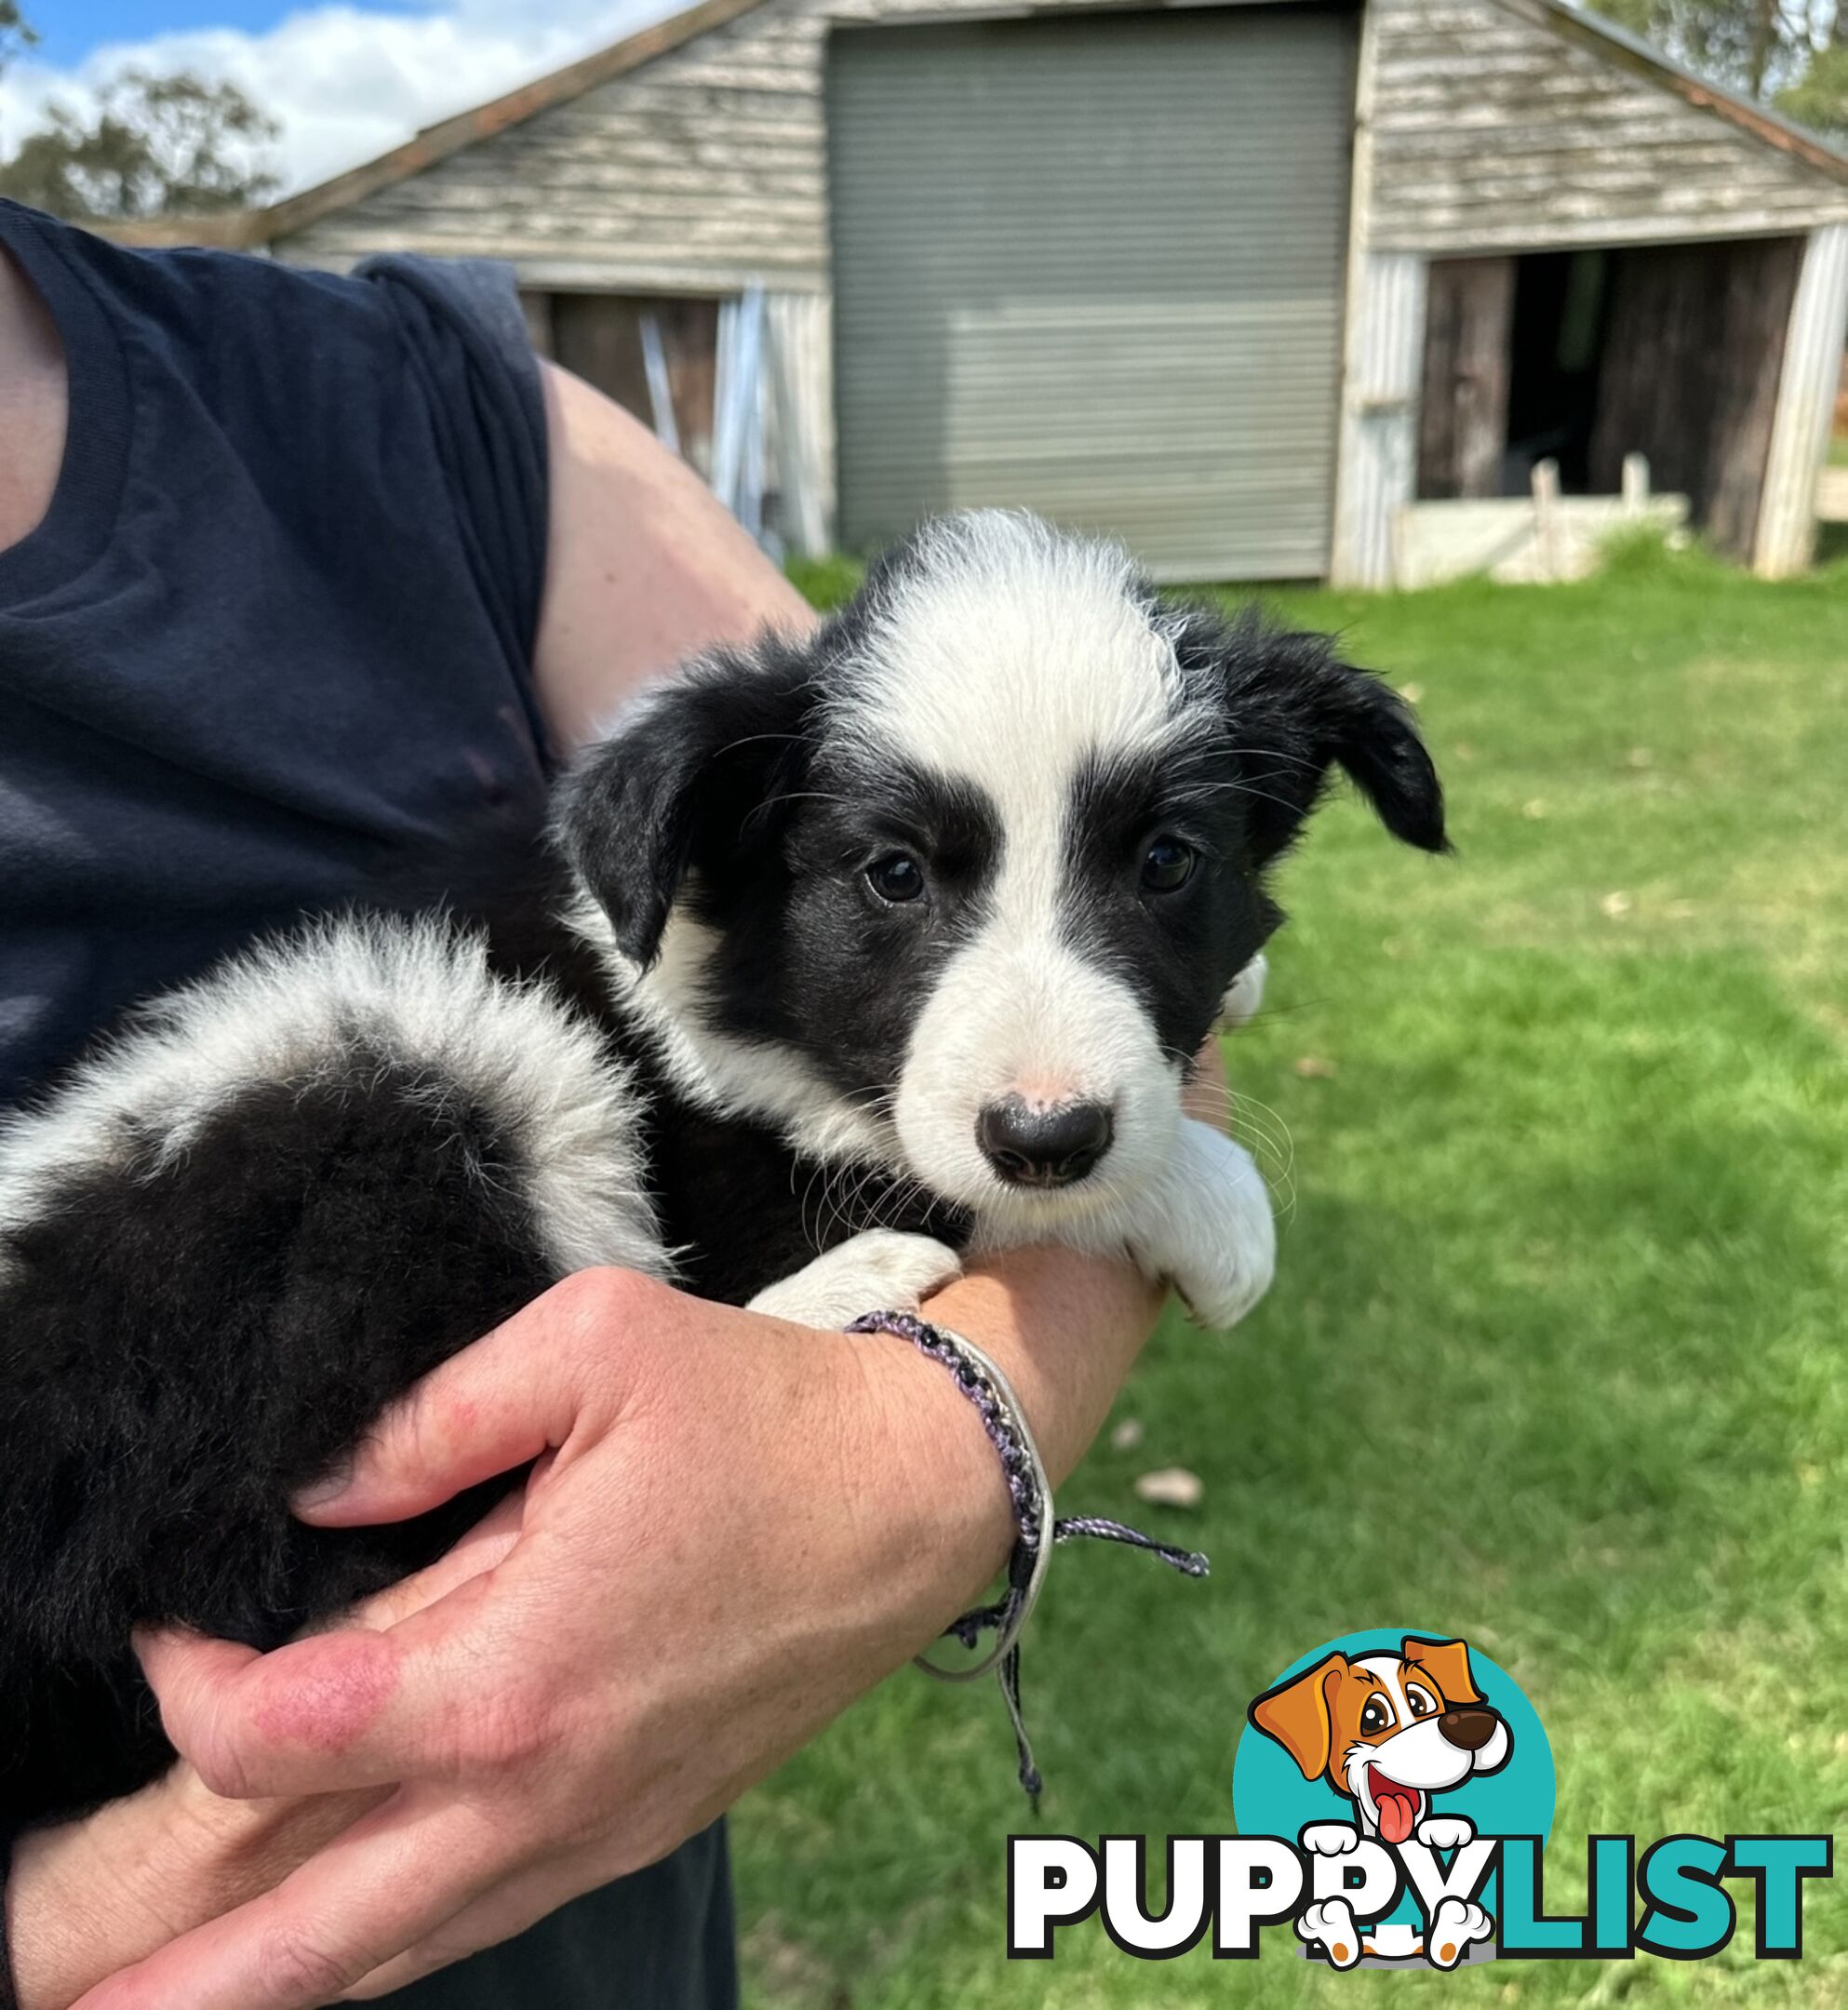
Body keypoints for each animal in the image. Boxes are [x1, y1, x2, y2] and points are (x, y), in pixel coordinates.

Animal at [0, 506, 1447, 1825]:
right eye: (893, 875)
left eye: (1166, 862)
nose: (1048, 1135)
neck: (749, 979)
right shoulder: (754, 1148)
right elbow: (929, 1180)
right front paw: (1202, 1201)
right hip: (411, 1063)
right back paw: (853, 1280)